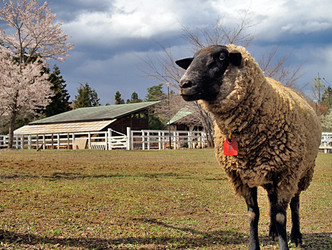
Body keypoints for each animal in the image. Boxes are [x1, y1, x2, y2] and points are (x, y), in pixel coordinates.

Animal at [176, 45, 322, 250]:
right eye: (192, 60)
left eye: (221, 57)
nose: (184, 84)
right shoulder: (241, 176)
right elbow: (253, 214)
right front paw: (255, 245)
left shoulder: (286, 173)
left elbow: (281, 216)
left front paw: (285, 243)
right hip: (271, 175)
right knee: (272, 201)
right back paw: (273, 232)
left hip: (302, 171)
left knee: (295, 203)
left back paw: (296, 236)